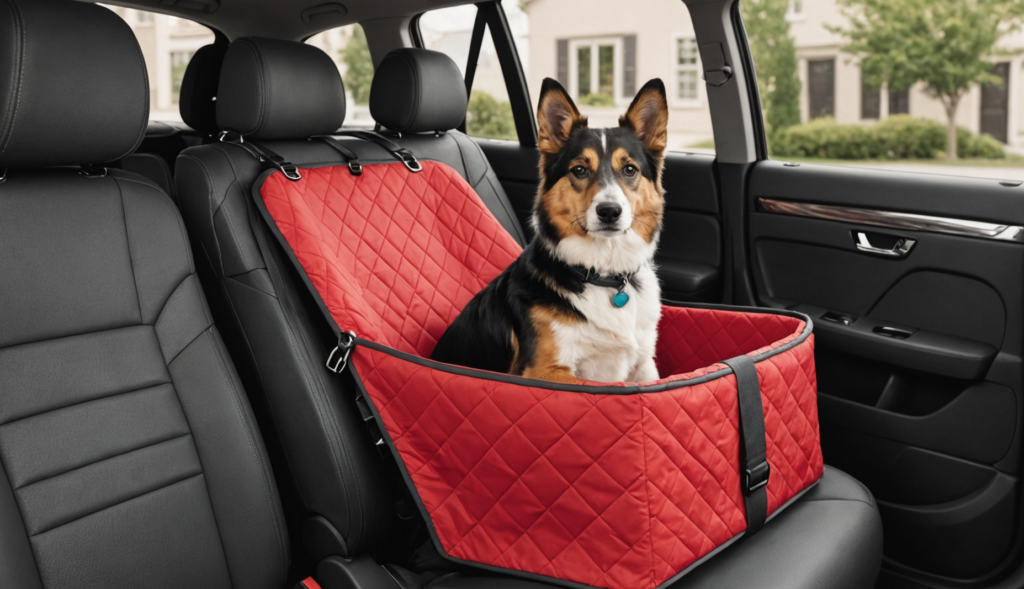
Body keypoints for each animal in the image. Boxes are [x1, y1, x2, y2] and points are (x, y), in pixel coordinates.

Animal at [428, 78, 667, 387]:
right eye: (579, 170)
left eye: (629, 169)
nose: (610, 211)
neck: (602, 273)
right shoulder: (545, 372)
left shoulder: (644, 367)